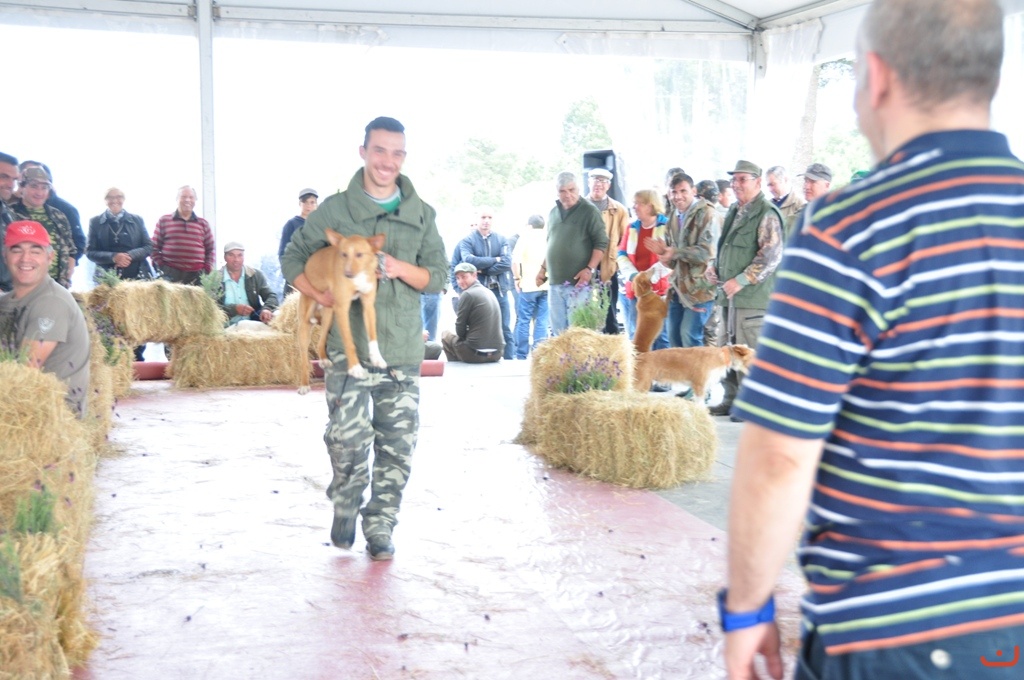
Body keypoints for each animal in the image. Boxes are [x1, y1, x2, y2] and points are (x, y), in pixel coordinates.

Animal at [297, 230, 386, 394]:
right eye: (343, 254)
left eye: (359, 254)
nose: (348, 274)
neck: (358, 277)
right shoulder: (343, 308)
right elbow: (349, 342)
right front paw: (355, 368)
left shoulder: (368, 306)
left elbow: (373, 336)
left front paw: (377, 358)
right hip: (305, 324)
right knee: (304, 358)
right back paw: (304, 384)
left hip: (329, 316)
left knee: (320, 342)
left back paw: (324, 359)